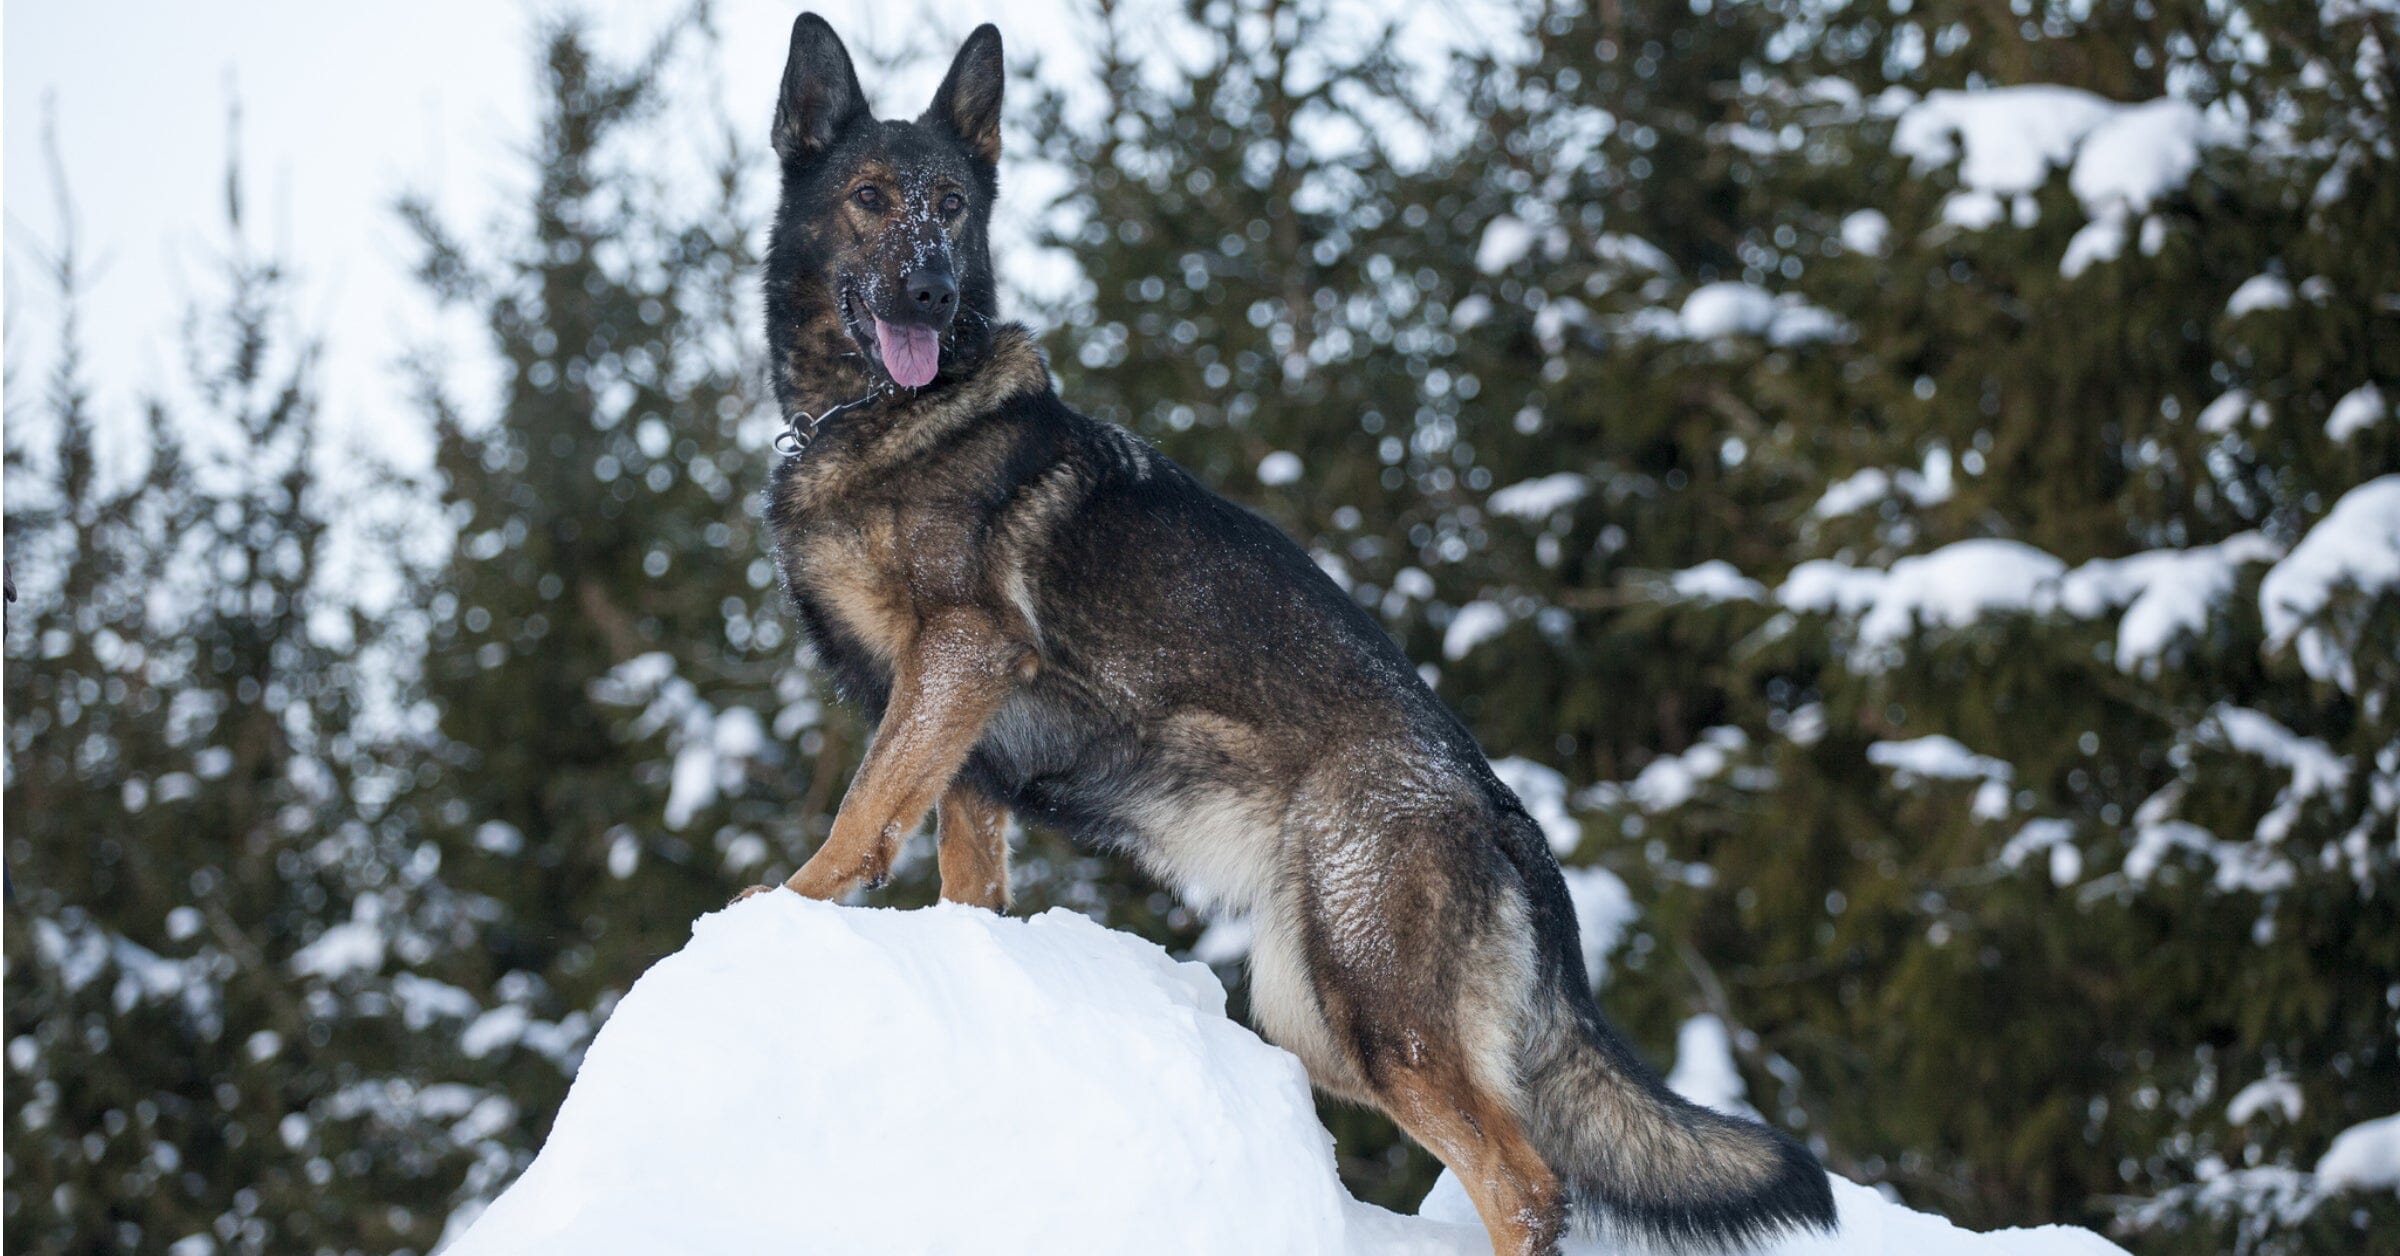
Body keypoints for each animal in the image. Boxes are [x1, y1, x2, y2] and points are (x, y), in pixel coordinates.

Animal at [739, 12, 1843, 1256]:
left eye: (952, 205)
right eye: (871, 197)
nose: (930, 294)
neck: (883, 415)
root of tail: (1500, 806)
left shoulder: (960, 653)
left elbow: (859, 814)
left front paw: (773, 912)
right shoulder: (967, 743)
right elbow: (959, 871)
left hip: (1369, 1007)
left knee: (1525, 1180)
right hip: (1312, 1009)